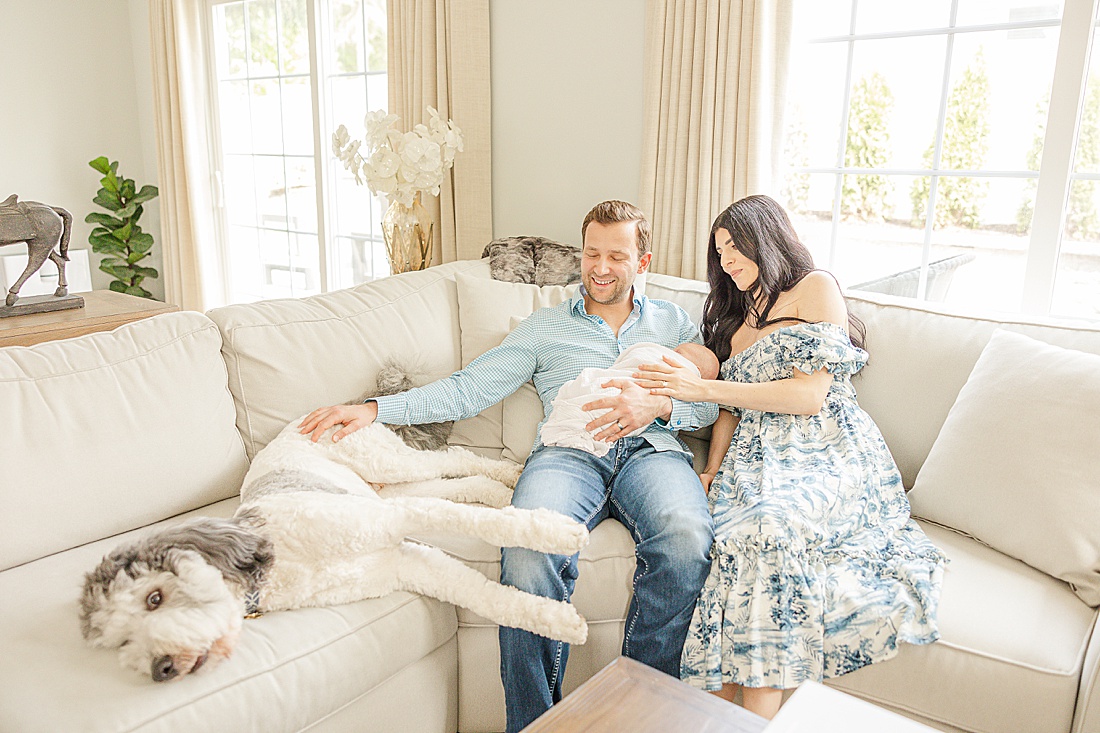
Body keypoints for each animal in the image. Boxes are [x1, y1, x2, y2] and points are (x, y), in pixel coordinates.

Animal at [80, 365, 589, 677]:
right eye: (120, 640)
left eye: (155, 597)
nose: (160, 669)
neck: (277, 565)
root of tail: (343, 405)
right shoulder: (405, 563)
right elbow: (488, 598)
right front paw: (562, 623)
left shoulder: (389, 521)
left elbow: (478, 525)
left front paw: (560, 532)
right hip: (393, 487)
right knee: (462, 480)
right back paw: (502, 489)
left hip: (388, 468)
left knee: (455, 458)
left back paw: (509, 477)